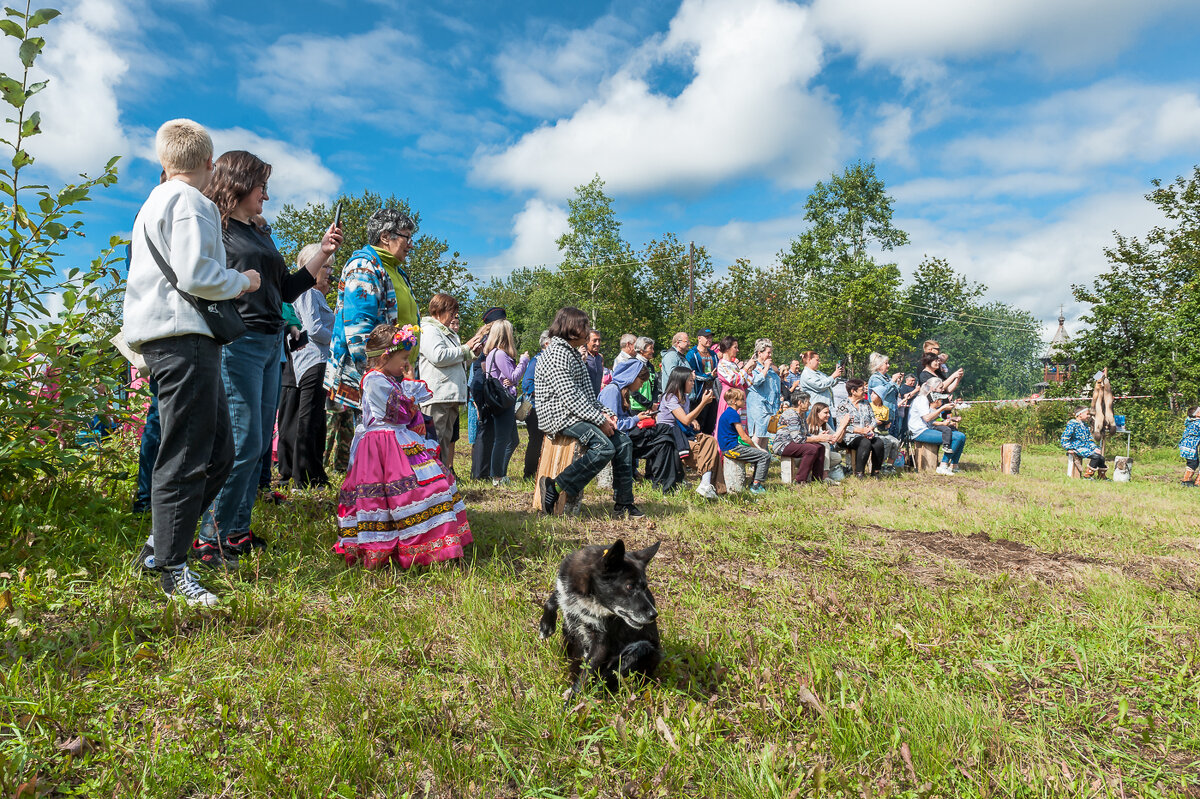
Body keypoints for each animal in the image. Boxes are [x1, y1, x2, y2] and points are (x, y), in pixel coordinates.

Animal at [540, 537, 662, 695]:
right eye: (629, 586)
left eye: (645, 587)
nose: (654, 614)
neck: (587, 598)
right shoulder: (565, 591)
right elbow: (553, 599)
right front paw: (546, 625)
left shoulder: (601, 644)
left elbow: (585, 676)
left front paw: (573, 700)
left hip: (643, 649)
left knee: (603, 680)